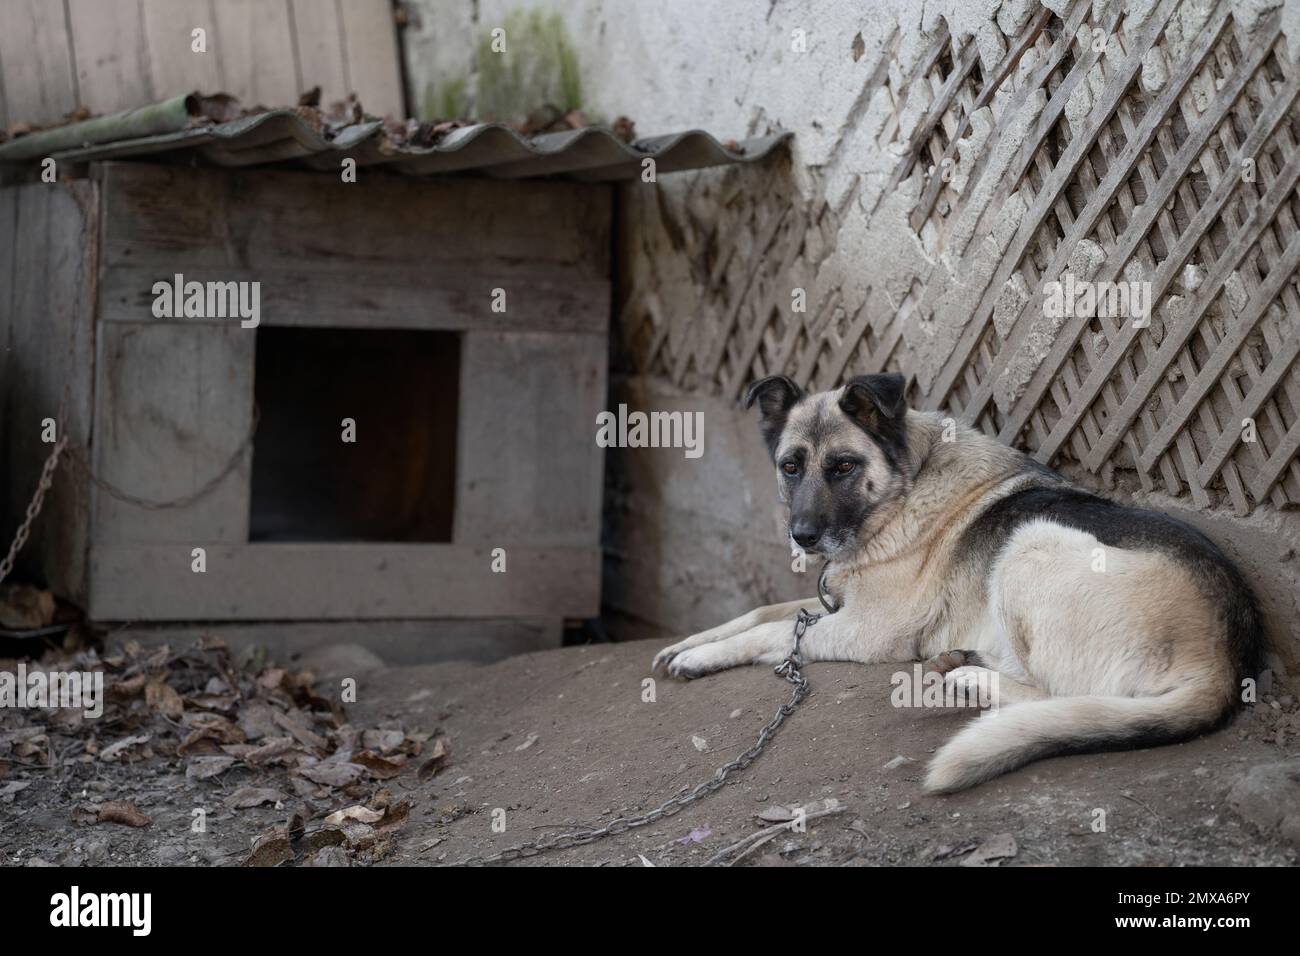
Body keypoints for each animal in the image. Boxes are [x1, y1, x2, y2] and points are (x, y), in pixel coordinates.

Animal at [655, 374, 1263, 790]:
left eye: (844, 466)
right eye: (791, 466)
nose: (802, 537)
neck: (904, 487)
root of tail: (1226, 660)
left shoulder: (866, 629)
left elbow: (771, 633)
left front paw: (702, 657)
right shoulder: (834, 603)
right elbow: (763, 613)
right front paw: (686, 644)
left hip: (1031, 545)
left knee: (1061, 696)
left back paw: (968, 678)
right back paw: (963, 662)